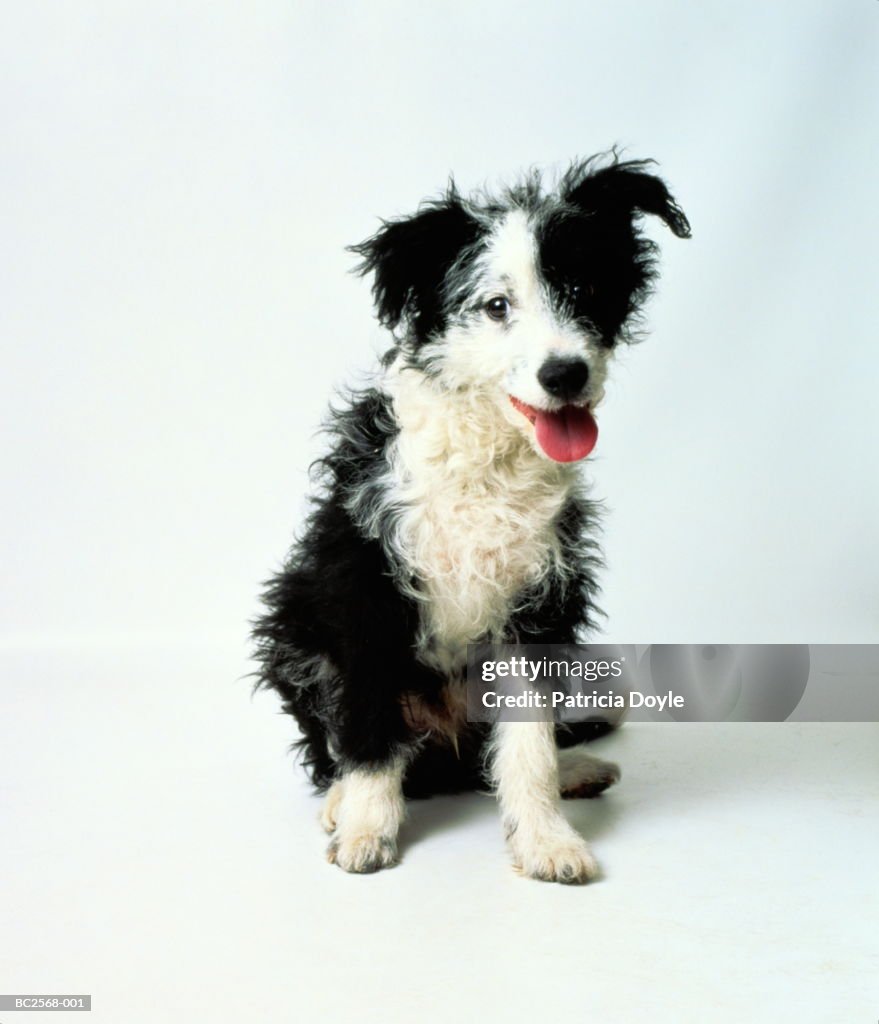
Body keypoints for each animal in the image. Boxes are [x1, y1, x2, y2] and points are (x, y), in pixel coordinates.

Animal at [249, 151, 688, 880]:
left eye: (584, 290)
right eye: (495, 306)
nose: (564, 374)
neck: (484, 458)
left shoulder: (536, 598)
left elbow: (529, 740)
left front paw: (545, 838)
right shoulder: (362, 584)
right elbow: (367, 719)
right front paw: (366, 826)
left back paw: (577, 769)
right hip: (294, 627)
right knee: (346, 745)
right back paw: (344, 798)